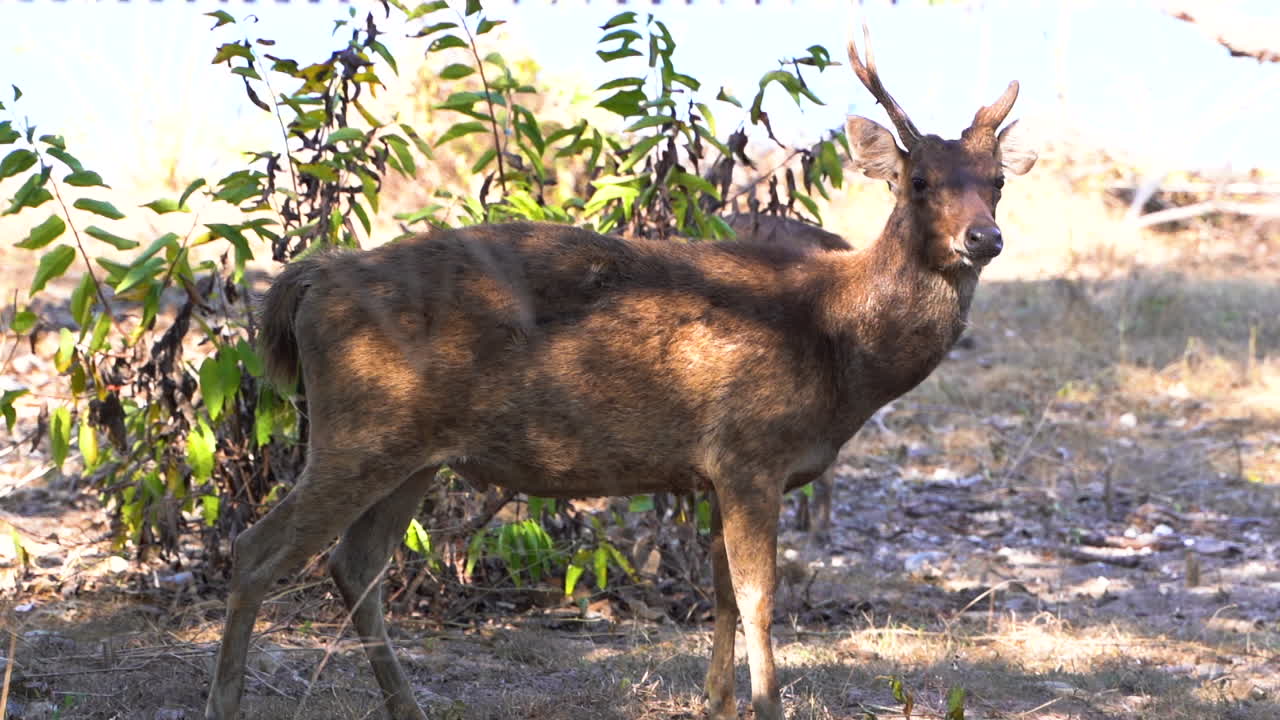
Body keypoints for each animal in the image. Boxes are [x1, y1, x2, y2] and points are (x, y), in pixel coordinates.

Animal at [205, 25, 1035, 720]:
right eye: (919, 180)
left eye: (997, 181)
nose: (984, 238)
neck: (838, 345)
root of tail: (312, 282)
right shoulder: (749, 451)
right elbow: (759, 598)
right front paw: (765, 705)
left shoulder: (715, 470)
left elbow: (721, 595)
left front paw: (716, 704)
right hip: (360, 428)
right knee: (255, 550)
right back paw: (227, 701)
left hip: (411, 450)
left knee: (356, 566)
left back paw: (408, 708)